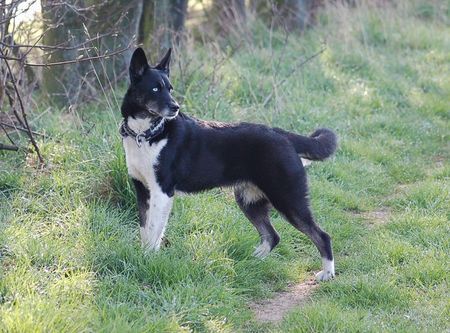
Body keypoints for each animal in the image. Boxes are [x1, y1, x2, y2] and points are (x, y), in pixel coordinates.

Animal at [119, 46, 338, 280]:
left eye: (170, 89)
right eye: (155, 89)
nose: (176, 107)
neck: (146, 134)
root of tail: (283, 135)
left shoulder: (162, 192)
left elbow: (153, 230)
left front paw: (148, 258)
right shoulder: (142, 190)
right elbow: (144, 228)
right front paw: (142, 256)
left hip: (288, 198)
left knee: (322, 235)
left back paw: (327, 273)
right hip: (249, 201)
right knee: (272, 236)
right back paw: (251, 261)